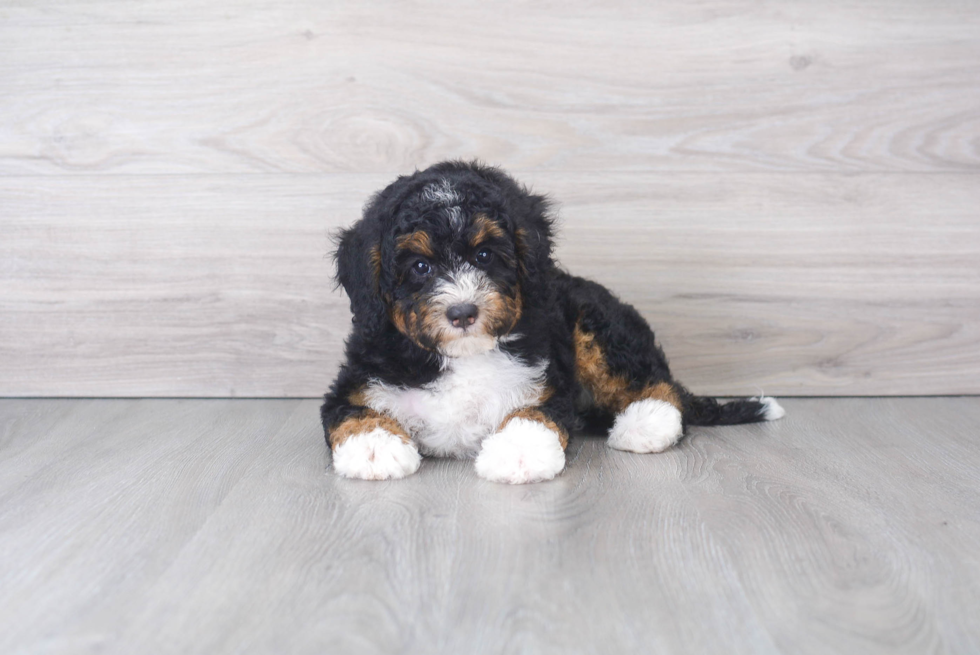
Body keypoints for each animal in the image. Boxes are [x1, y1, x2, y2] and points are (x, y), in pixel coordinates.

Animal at [320, 161, 780, 484]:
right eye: (419, 267)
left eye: (484, 255)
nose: (463, 312)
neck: (463, 357)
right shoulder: (359, 380)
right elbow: (353, 412)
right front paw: (375, 449)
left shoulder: (545, 381)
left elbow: (533, 413)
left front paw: (518, 453)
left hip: (593, 325)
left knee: (657, 384)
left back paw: (645, 422)